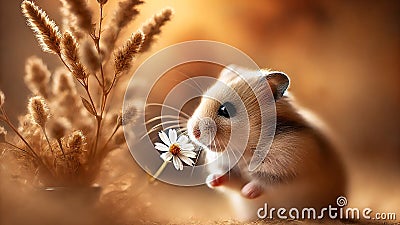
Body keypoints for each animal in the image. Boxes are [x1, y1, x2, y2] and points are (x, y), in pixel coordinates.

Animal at [188, 64, 346, 220]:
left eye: (225, 110)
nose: (195, 133)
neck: (243, 151)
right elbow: (229, 179)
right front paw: (211, 181)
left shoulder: (286, 165)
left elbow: (264, 180)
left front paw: (247, 192)